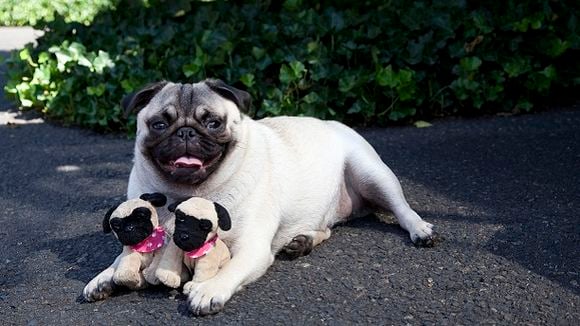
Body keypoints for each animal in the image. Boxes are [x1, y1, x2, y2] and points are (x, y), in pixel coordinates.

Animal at [85, 77, 440, 314]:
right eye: (159, 124)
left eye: (213, 123)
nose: (186, 132)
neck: (184, 194)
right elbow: (123, 258)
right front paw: (105, 276)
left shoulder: (251, 248)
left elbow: (229, 268)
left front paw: (208, 288)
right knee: (325, 227)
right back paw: (302, 242)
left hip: (371, 172)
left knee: (402, 208)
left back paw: (421, 230)